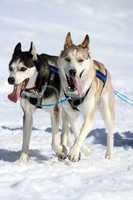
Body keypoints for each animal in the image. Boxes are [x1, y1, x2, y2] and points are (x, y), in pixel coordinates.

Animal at [58, 32, 115, 161]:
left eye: (80, 60)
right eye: (68, 59)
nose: (72, 71)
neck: (76, 94)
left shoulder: (89, 115)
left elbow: (81, 134)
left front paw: (74, 153)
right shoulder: (71, 114)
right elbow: (77, 132)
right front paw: (82, 150)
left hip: (106, 110)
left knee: (110, 132)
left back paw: (109, 154)